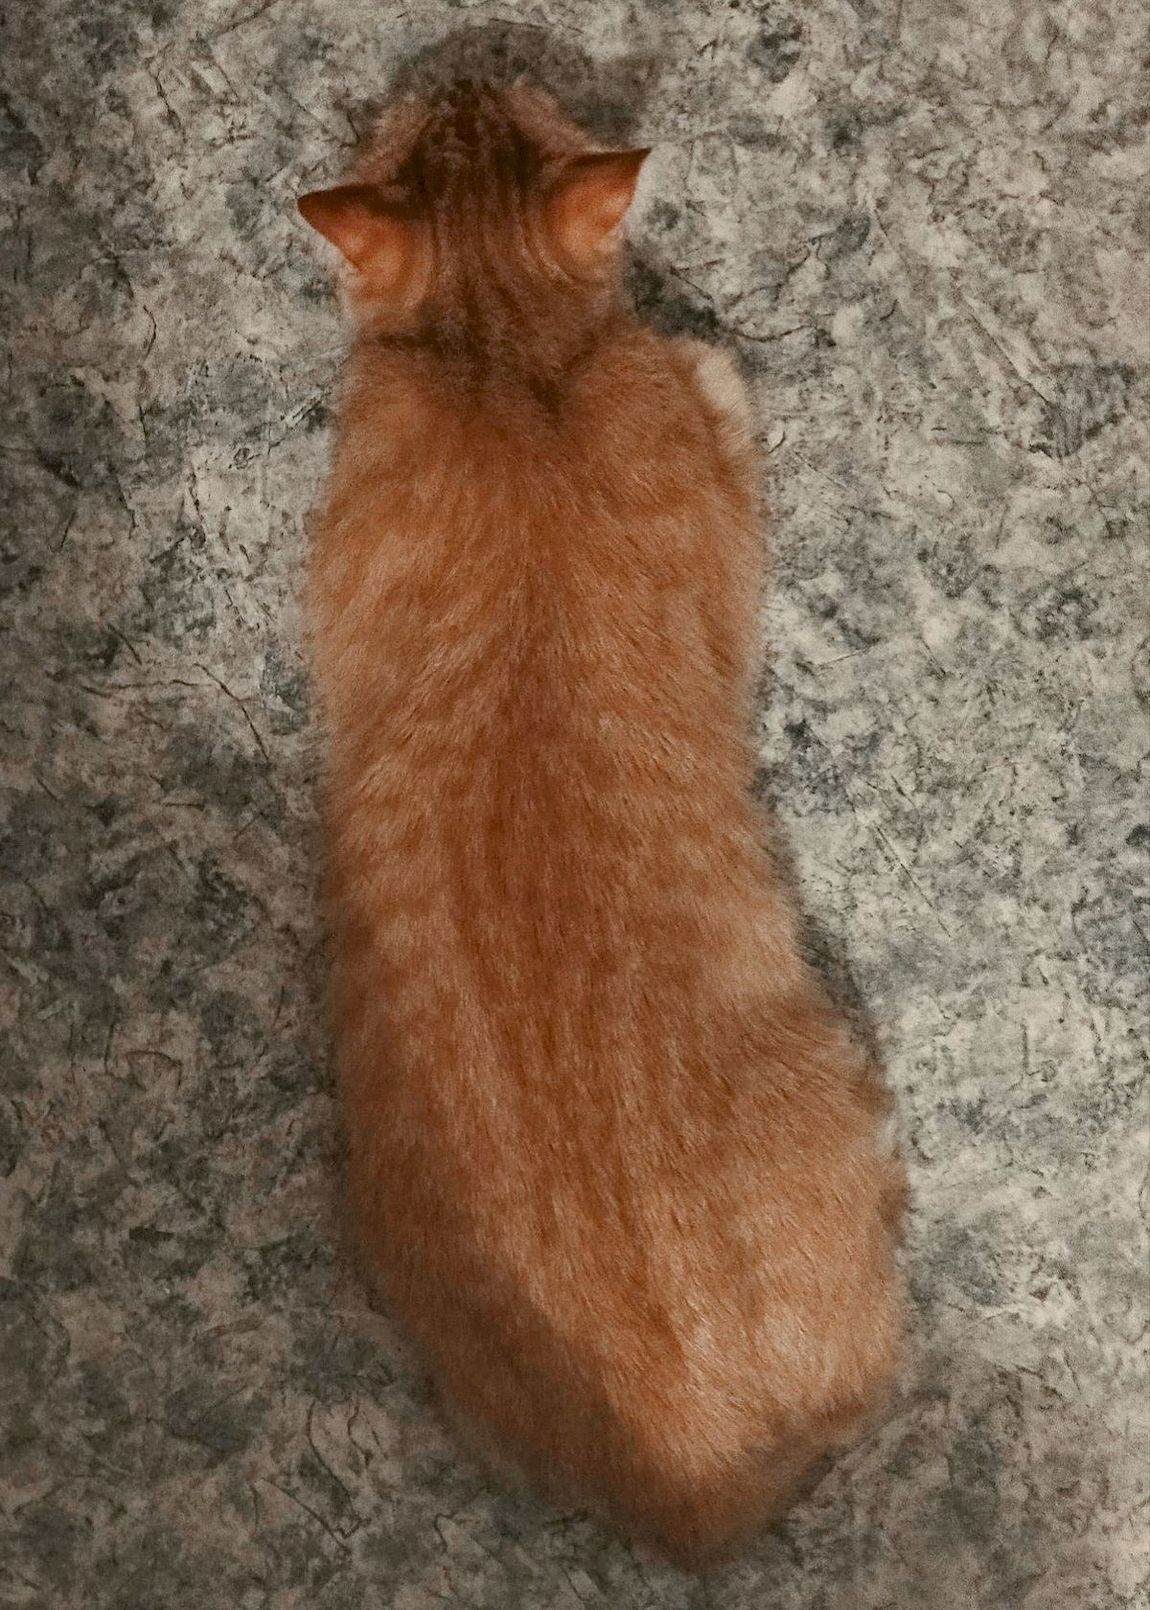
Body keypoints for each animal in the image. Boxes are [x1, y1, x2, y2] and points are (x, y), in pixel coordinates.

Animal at [297, 80, 904, 1566]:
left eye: (482, 92)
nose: (465, 62)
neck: (497, 349)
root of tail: (693, 1485)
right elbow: (718, 405)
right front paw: (714, 365)